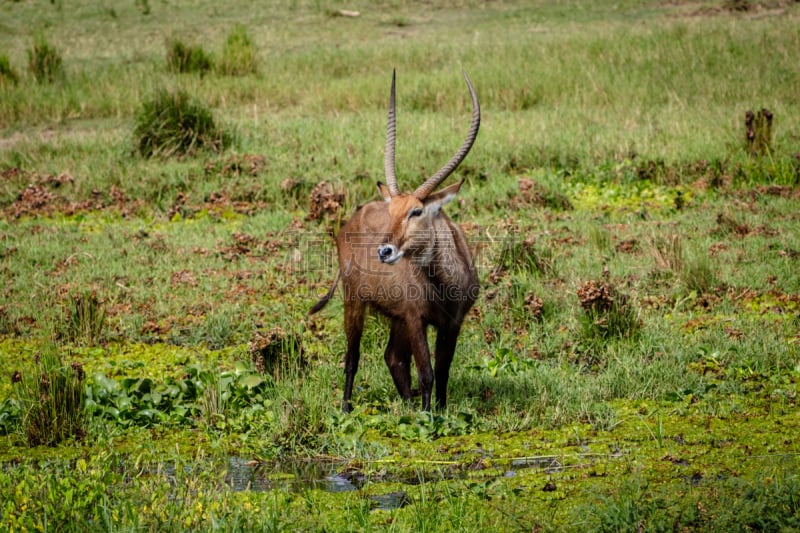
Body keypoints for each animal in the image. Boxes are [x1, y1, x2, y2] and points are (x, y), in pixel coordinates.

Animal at [310, 70, 478, 412]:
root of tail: (350, 221)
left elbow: (443, 371)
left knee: (393, 357)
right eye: (392, 210)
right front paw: (429, 417)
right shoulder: (416, 319)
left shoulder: (450, 323)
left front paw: (440, 410)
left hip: (396, 317)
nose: (384, 250)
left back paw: (406, 404)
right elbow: (427, 373)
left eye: (416, 211)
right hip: (355, 301)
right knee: (353, 357)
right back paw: (346, 408)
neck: (444, 284)